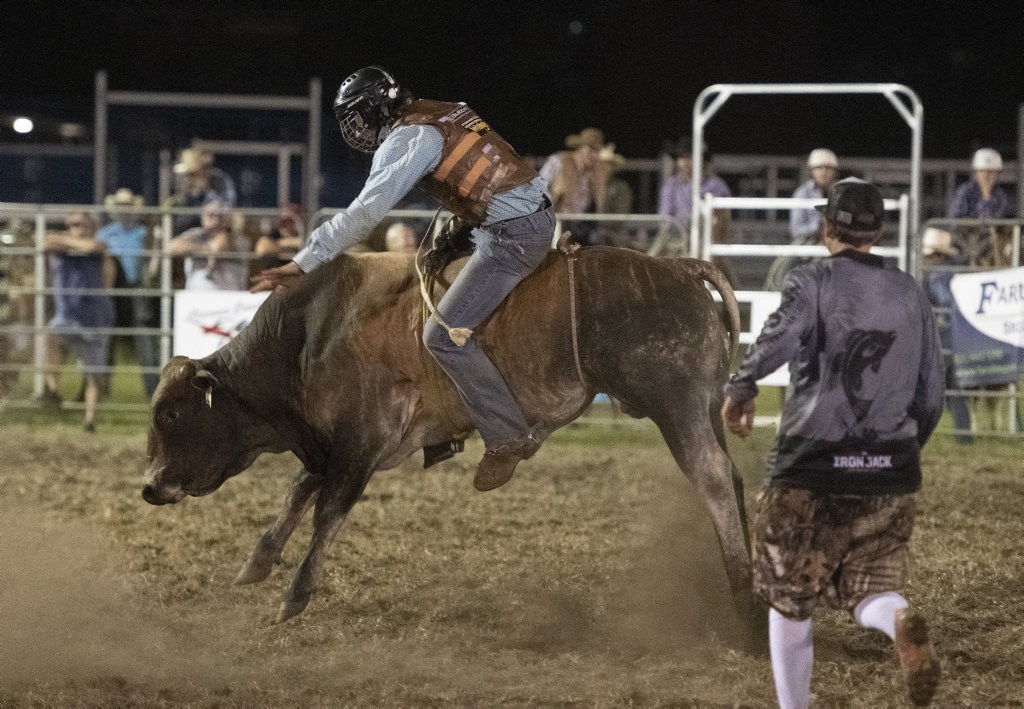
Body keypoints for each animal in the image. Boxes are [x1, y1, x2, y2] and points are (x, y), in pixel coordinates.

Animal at [142, 240, 761, 639]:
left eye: (170, 414)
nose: (149, 487)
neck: (306, 339)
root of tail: (680, 267)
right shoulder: (330, 442)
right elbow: (299, 490)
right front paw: (258, 561)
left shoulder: (362, 443)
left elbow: (328, 510)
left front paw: (292, 597)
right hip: (705, 407)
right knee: (732, 479)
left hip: (676, 406)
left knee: (711, 480)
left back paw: (745, 607)